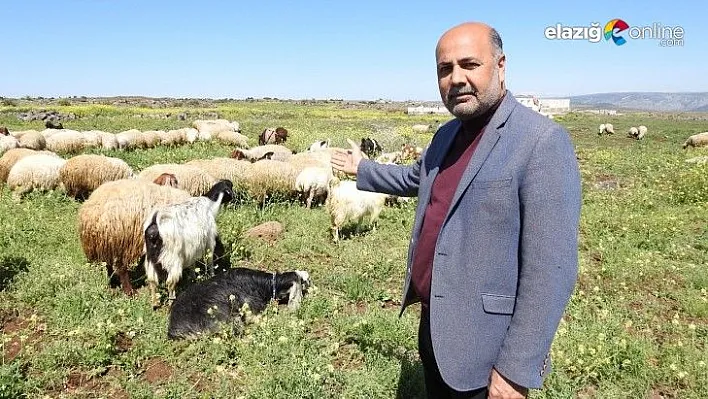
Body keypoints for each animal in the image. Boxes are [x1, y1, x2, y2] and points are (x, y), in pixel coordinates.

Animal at [142, 180, 236, 308]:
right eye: (230, 187)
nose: (234, 196)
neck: (210, 205)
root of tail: (155, 222)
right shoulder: (209, 240)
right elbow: (210, 260)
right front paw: (211, 275)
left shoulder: (191, 248)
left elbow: (192, 264)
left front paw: (193, 277)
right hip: (172, 258)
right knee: (170, 282)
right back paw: (171, 301)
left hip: (150, 258)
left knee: (152, 281)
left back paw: (155, 303)